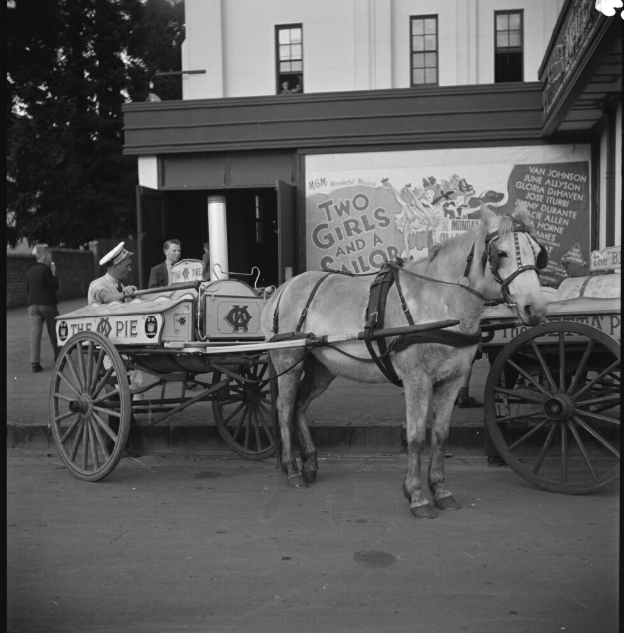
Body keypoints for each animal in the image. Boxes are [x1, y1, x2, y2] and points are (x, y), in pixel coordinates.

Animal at [260, 209, 548, 520]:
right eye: (501, 253)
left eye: (538, 253)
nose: (536, 309)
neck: (442, 300)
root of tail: (283, 288)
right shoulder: (416, 379)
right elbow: (416, 437)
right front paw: (417, 496)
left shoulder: (452, 380)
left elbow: (440, 436)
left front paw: (440, 491)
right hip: (288, 359)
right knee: (284, 409)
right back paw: (292, 470)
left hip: (322, 368)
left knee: (300, 406)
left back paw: (310, 463)